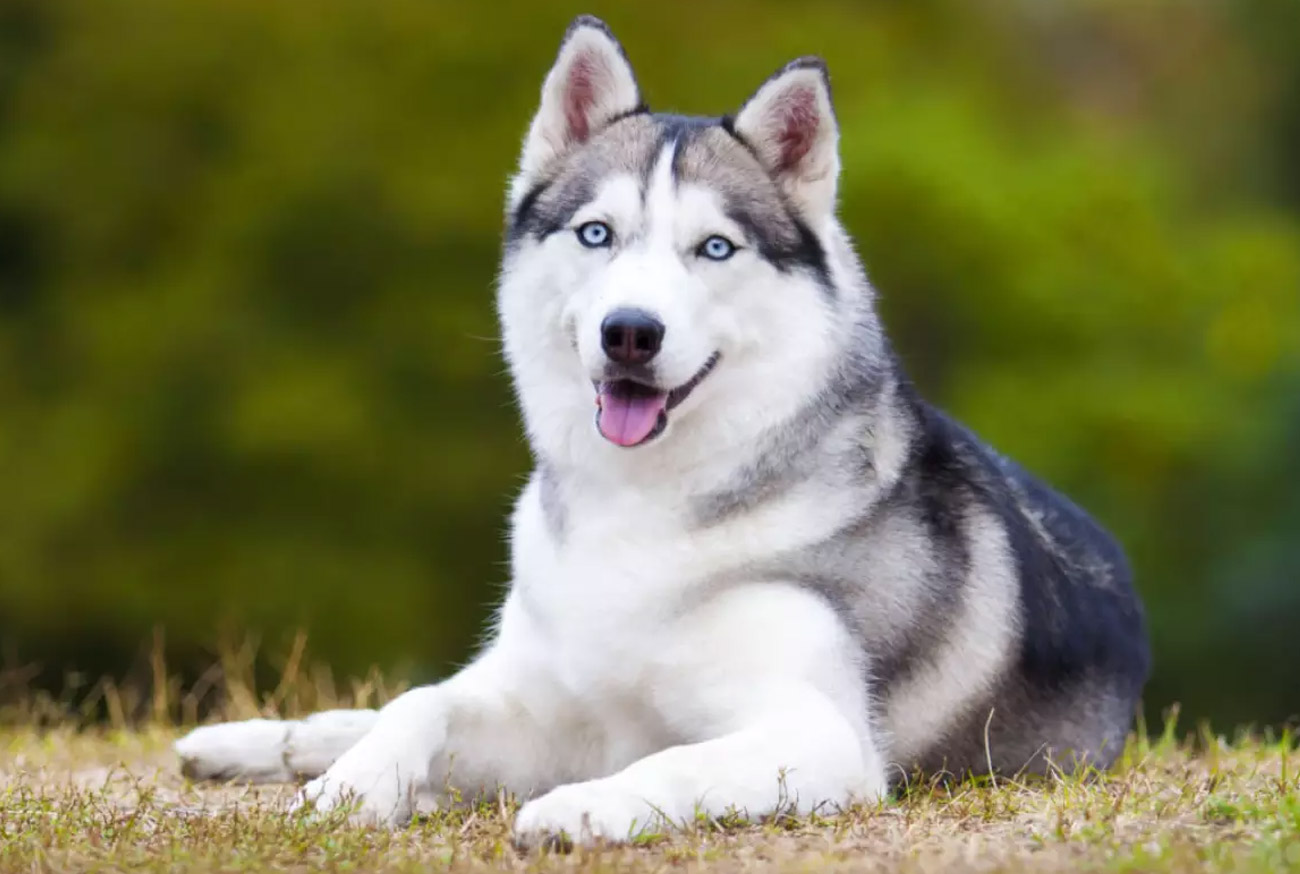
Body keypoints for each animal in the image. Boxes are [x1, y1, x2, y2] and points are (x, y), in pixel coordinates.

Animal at [172, 13, 1149, 847]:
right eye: (596, 233)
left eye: (714, 247)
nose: (630, 332)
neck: (641, 508)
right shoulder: (550, 704)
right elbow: (421, 702)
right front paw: (350, 788)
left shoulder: (821, 734)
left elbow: (673, 761)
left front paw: (580, 809)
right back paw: (253, 743)